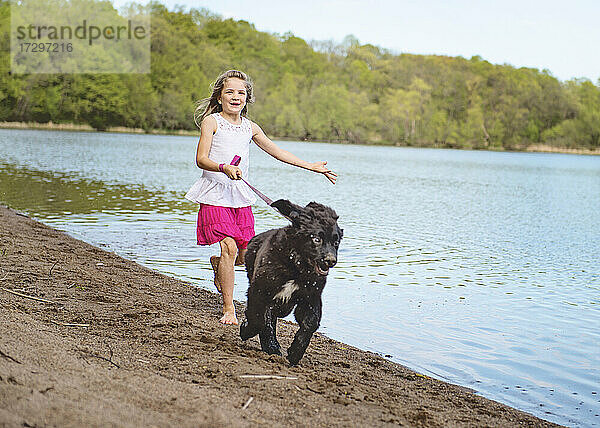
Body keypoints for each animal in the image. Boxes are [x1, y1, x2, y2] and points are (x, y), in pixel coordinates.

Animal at [239, 200, 342, 364]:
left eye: (336, 242)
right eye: (316, 239)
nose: (331, 260)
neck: (297, 267)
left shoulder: (311, 297)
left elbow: (311, 323)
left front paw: (295, 352)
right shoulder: (259, 290)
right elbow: (258, 319)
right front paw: (246, 330)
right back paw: (271, 346)